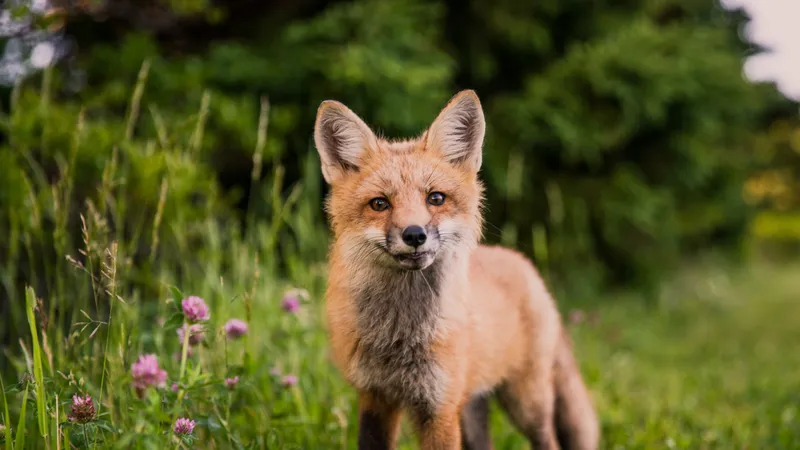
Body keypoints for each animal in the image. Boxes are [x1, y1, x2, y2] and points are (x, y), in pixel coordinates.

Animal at [313, 90, 599, 450]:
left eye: (436, 198)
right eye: (379, 203)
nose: (415, 235)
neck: (400, 335)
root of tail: (524, 264)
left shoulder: (440, 407)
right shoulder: (376, 397)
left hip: (527, 403)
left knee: (550, 441)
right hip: (473, 408)